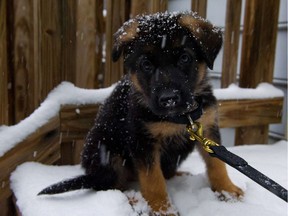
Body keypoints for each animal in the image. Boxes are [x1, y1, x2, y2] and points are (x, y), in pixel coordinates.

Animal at [39, 12, 244, 216]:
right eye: (146, 64)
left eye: (185, 58)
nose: (169, 99)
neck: (179, 118)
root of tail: (91, 175)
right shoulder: (143, 140)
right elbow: (153, 180)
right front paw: (163, 210)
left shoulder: (207, 128)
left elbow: (217, 164)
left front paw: (227, 190)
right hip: (106, 151)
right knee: (112, 187)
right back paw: (135, 200)